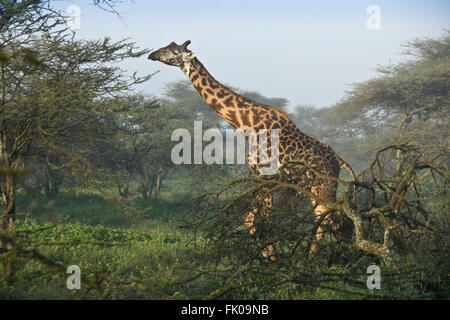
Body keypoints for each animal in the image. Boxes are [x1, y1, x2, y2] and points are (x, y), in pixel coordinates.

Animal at [148, 40, 356, 260]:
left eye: (174, 51)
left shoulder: (267, 176)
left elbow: (267, 221)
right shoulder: (260, 177)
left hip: (322, 185)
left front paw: (271, 259)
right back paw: (310, 260)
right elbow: (249, 220)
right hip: (314, 187)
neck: (246, 124)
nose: (152, 54)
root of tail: (339, 160)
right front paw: (265, 255)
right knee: (326, 219)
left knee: (338, 221)